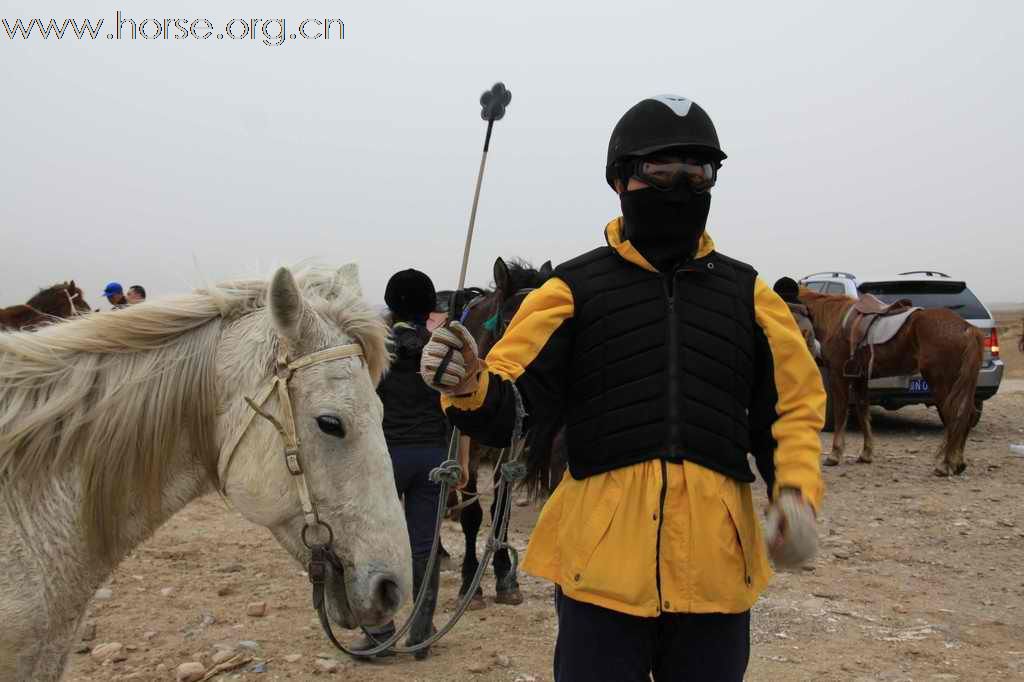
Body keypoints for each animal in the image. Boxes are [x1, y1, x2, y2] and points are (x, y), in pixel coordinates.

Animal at [798, 288, 983, 475]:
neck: (833, 319)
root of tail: (967, 328)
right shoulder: (859, 379)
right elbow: (863, 413)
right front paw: (866, 454)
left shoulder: (838, 376)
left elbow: (841, 413)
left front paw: (834, 455)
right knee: (968, 415)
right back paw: (958, 464)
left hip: (942, 384)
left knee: (955, 416)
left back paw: (945, 465)